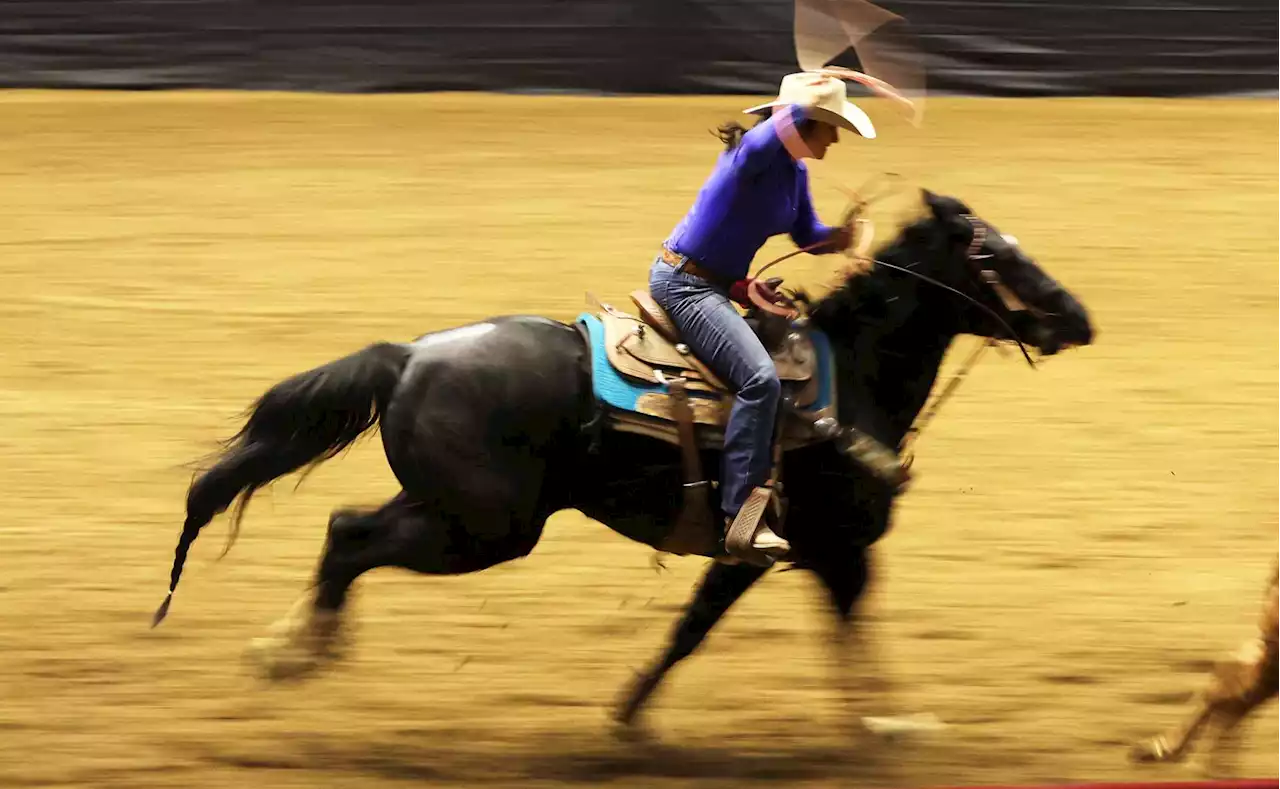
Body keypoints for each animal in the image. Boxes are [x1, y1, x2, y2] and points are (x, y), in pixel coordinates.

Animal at [147, 189, 1090, 727]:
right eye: (996, 254)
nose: (1079, 318)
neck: (850, 378)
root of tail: (407, 355)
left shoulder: (790, 556)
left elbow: (704, 630)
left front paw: (630, 710)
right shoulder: (817, 548)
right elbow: (764, 630)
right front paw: (887, 729)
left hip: (457, 512)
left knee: (344, 528)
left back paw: (291, 649)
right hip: (484, 529)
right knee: (351, 541)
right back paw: (294, 655)